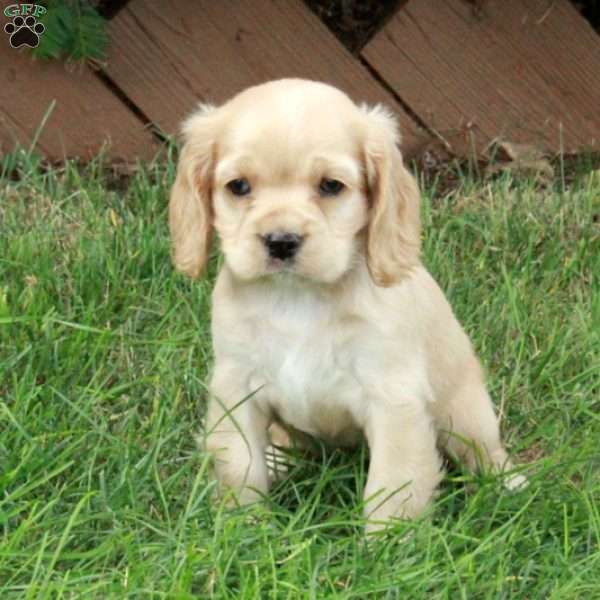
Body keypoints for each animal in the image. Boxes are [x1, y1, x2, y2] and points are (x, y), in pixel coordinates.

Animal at [169, 77, 524, 532]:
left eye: (330, 186)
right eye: (239, 187)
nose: (281, 241)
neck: (297, 297)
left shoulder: (393, 399)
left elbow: (392, 486)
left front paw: (387, 545)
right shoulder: (237, 389)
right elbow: (240, 468)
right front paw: (241, 529)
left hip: (464, 412)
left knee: (483, 452)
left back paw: (509, 482)